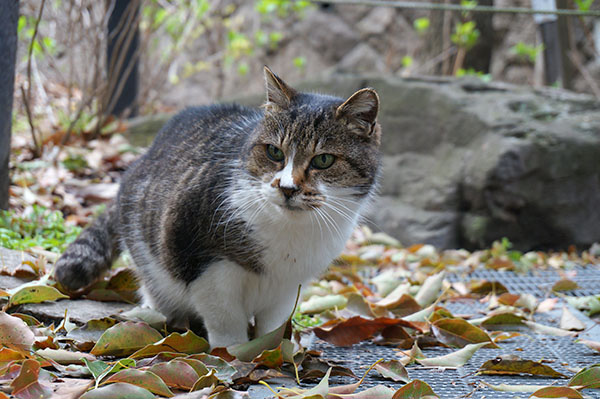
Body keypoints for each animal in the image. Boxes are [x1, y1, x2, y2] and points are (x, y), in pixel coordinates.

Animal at [54, 67, 382, 348]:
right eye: (274, 152)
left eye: (324, 160)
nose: (288, 188)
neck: (289, 233)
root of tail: (141, 158)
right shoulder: (200, 257)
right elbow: (224, 315)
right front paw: (235, 353)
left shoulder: (290, 283)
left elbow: (274, 321)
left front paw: (271, 349)